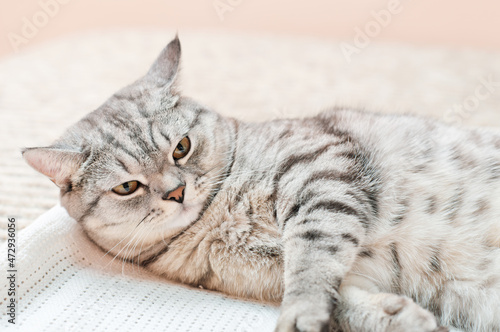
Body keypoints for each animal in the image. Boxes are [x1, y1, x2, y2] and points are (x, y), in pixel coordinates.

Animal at [23, 37, 500, 332]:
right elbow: (339, 298)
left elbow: (310, 261)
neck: (216, 220)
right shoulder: (262, 277)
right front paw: (398, 317)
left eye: (181, 148)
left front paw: (303, 310)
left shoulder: (321, 171)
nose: (176, 192)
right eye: (128, 188)